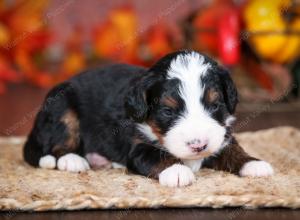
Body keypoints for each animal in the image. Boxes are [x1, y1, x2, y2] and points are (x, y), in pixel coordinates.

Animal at [23, 50, 274, 186]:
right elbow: (156, 156)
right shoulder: (138, 147)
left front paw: (253, 163)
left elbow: (232, 150)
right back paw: (73, 160)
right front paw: (177, 171)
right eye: (168, 112)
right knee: (57, 145)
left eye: (215, 105)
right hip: (62, 108)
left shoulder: (221, 136)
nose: (198, 145)